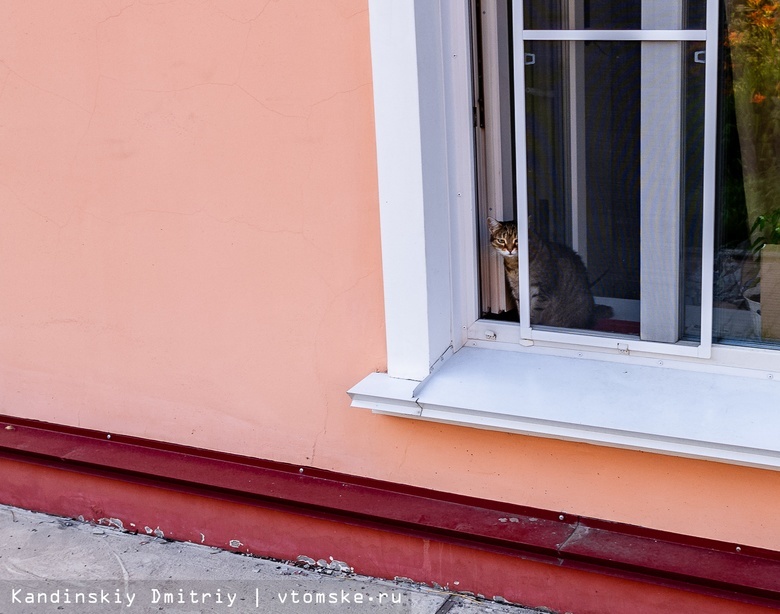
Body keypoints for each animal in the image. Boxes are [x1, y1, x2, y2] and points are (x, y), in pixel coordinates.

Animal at [484, 218, 612, 330]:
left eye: (517, 240)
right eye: (501, 240)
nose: (510, 250)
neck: (515, 265)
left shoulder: (542, 290)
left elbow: (535, 311)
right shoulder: (517, 290)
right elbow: (522, 309)